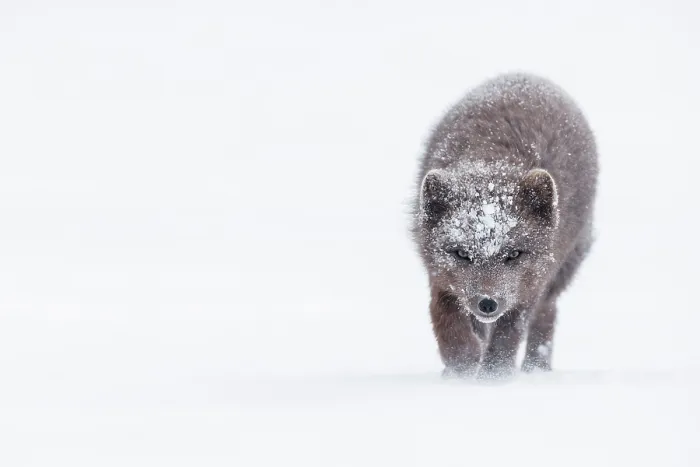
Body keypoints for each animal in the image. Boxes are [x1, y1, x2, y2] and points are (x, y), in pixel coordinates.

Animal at [412, 73, 597, 379]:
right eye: (461, 254)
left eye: (514, 254)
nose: (488, 303)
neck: (491, 162)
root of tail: (529, 77)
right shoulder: (439, 276)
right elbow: (445, 321)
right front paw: (461, 369)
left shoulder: (529, 287)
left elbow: (507, 334)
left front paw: (493, 377)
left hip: (561, 269)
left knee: (546, 314)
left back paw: (536, 369)